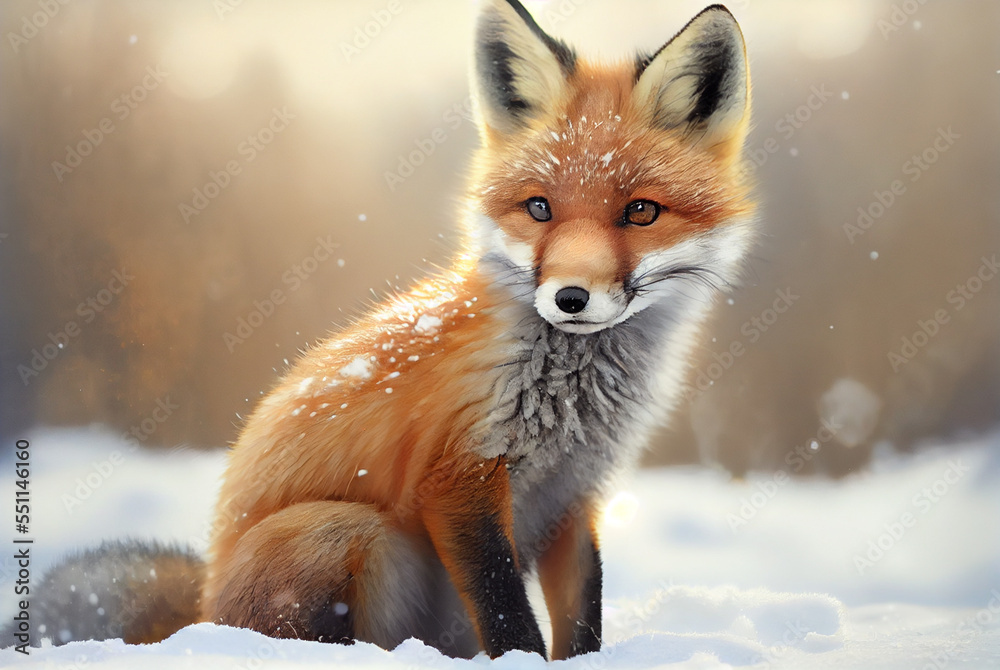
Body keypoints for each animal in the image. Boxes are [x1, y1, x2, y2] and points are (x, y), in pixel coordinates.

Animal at [12, 0, 755, 660]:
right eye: (539, 208)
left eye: (641, 212)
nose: (570, 298)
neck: (569, 403)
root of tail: (201, 611)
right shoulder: (458, 479)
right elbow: (509, 616)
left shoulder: (577, 497)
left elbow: (581, 624)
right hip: (342, 529)